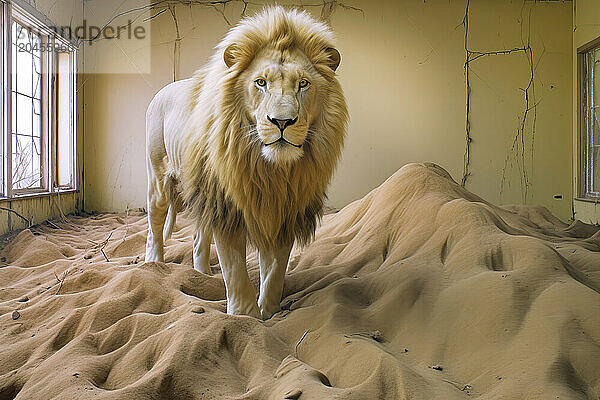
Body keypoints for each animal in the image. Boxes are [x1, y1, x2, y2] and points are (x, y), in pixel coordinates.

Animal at [145, 5, 350, 318]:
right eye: (260, 83)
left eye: (303, 84)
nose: (282, 122)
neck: (271, 171)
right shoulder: (225, 207)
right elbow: (235, 270)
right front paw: (245, 316)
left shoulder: (284, 211)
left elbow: (275, 268)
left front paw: (269, 310)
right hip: (159, 177)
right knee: (155, 223)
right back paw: (153, 264)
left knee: (198, 238)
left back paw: (201, 275)